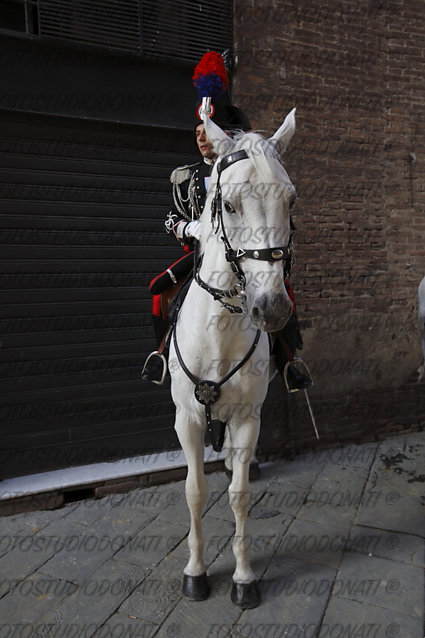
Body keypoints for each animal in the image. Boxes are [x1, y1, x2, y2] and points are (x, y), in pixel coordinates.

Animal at [167, 107, 296, 608]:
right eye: (229, 205)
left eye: (291, 201)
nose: (272, 309)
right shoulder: (187, 418)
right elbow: (194, 491)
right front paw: (195, 572)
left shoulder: (247, 418)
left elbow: (240, 495)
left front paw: (243, 578)